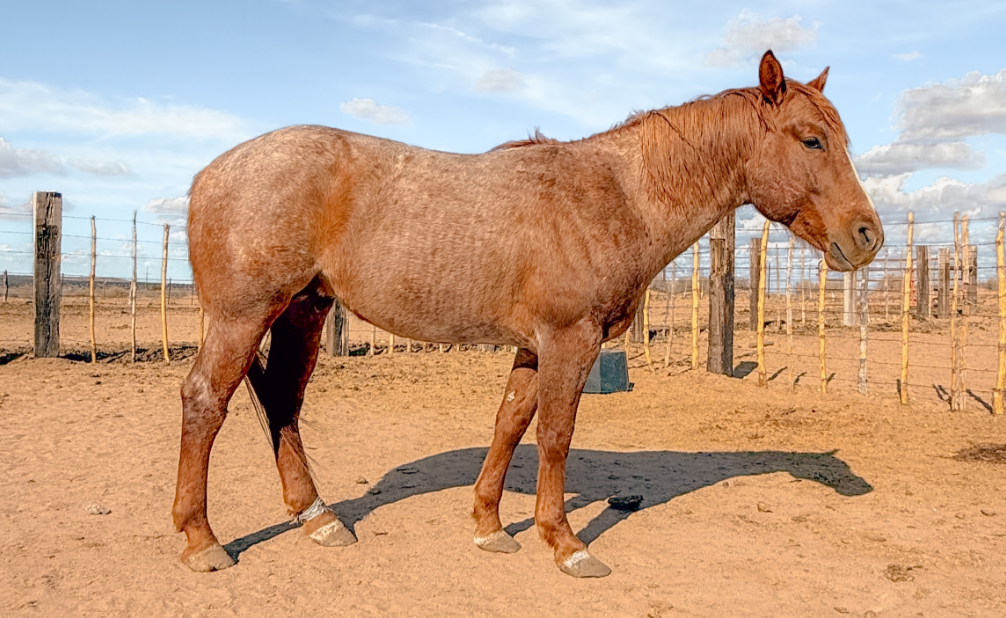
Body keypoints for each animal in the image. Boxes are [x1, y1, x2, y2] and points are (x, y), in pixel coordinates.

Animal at [173, 50, 883, 578]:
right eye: (812, 139)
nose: (867, 235)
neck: (617, 196)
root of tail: (210, 174)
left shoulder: (535, 345)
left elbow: (511, 423)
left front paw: (490, 526)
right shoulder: (571, 339)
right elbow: (555, 436)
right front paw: (565, 542)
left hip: (304, 310)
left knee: (283, 402)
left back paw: (318, 518)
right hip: (244, 316)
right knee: (206, 401)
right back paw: (202, 540)